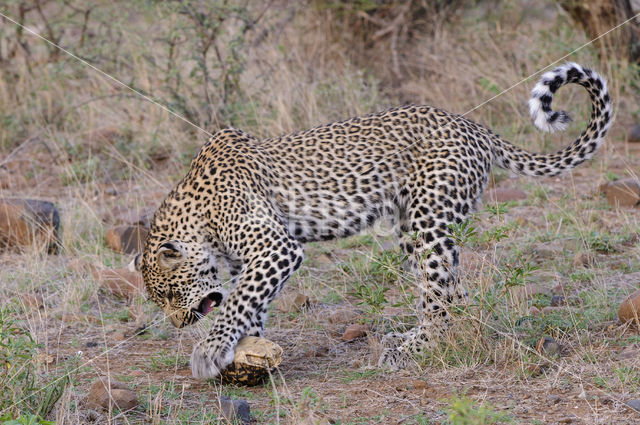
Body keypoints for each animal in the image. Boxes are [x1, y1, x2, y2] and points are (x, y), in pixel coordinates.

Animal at [131, 61, 616, 376]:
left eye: (171, 295)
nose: (178, 323)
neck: (198, 217)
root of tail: (473, 126)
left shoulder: (276, 248)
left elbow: (237, 301)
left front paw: (210, 350)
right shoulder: (259, 258)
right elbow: (249, 301)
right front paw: (244, 349)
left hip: (428, 222)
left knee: (442, 298)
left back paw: (409, 352)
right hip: (409, 228)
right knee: (452, 296)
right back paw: (414, 341)